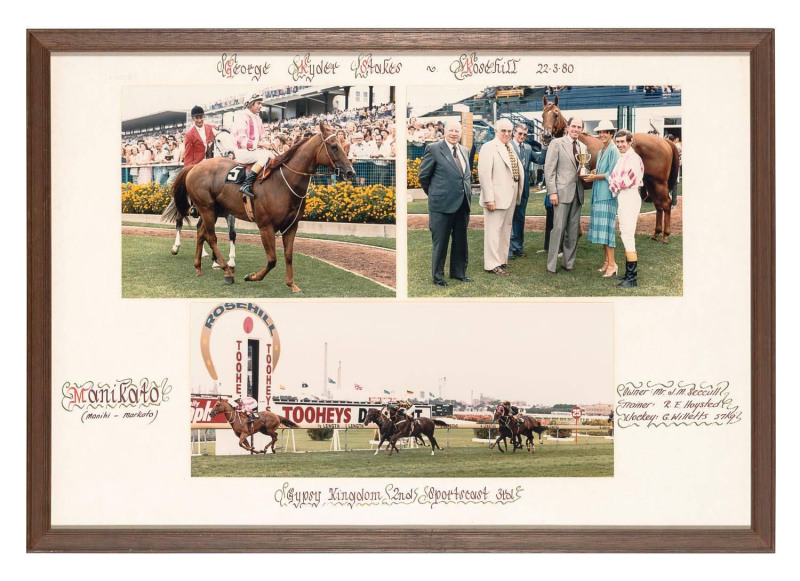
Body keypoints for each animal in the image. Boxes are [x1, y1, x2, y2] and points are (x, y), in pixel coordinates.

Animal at [162, 128, 238, 266]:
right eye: (219, 140)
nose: (231, 154)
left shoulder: (229, 214)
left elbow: (232, 233)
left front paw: (231, 260)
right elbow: (211, 234)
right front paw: (216, 261)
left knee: (199, 229)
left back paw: (203, 253)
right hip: (183, 206)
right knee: (179, 222)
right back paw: (176, 247)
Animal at [536, 95, 680, 242]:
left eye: (555, 114)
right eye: (542, 115)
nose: (546, 136)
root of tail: (664, 141)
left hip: (659, 182)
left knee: (666, 204)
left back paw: (665, 235)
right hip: (650, 182)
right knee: (658, 205)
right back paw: (656, 233)